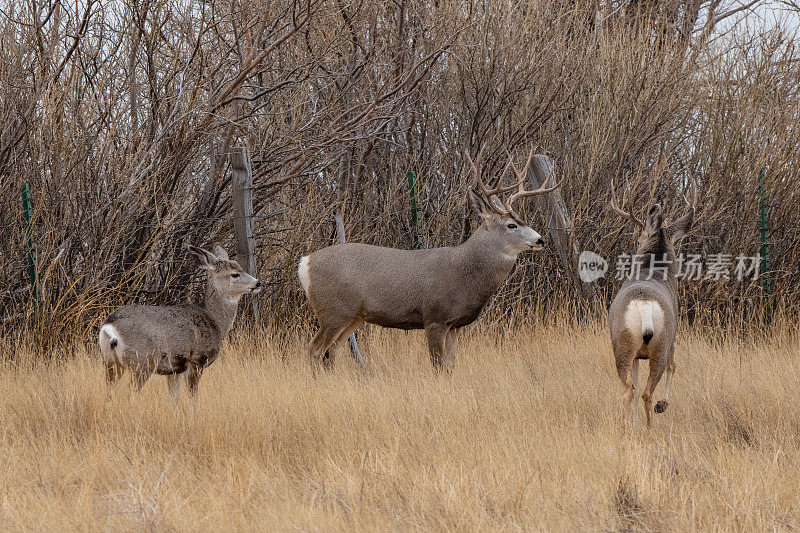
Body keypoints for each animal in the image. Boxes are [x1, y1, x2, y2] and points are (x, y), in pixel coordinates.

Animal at [95, 243, 260, 396]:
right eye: (235, 274)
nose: (258, 283)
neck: (215, 321)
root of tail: (109, 326)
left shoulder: (174, 370)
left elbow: (174, 398)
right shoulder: (196, 360)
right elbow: (192, 395)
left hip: (109, 362)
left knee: (108, 391)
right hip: (142, 361)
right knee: (132, 392)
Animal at [296, 148, 560, 368]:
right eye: (511, 225)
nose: (541, 240)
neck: (464, 273)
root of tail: (305, 263)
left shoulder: (455, 325)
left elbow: (450, 366)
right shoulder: (434, 317)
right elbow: (438, 366)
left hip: (352, 316)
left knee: (330, 353)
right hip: (333, 310)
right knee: (314, 349)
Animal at [608, 179, 696, 428]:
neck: (653, 271)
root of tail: (645, 306)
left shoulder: (638, 354)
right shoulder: (674, 336)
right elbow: (674, 366)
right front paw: (663, 405)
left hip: (623, 344)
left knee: (631, 388)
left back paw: (628, 426)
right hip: (661, 343)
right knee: (647, 390)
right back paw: (648, 427)